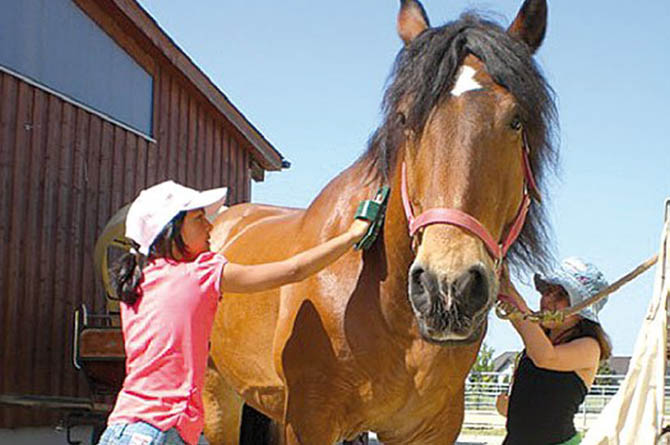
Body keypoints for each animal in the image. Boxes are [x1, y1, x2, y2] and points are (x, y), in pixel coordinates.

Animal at [206, 0, 560, 440]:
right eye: (406, 119)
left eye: (515, 120)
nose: (448, 287)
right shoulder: (309, 422)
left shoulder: (432, 428)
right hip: (219, 399)